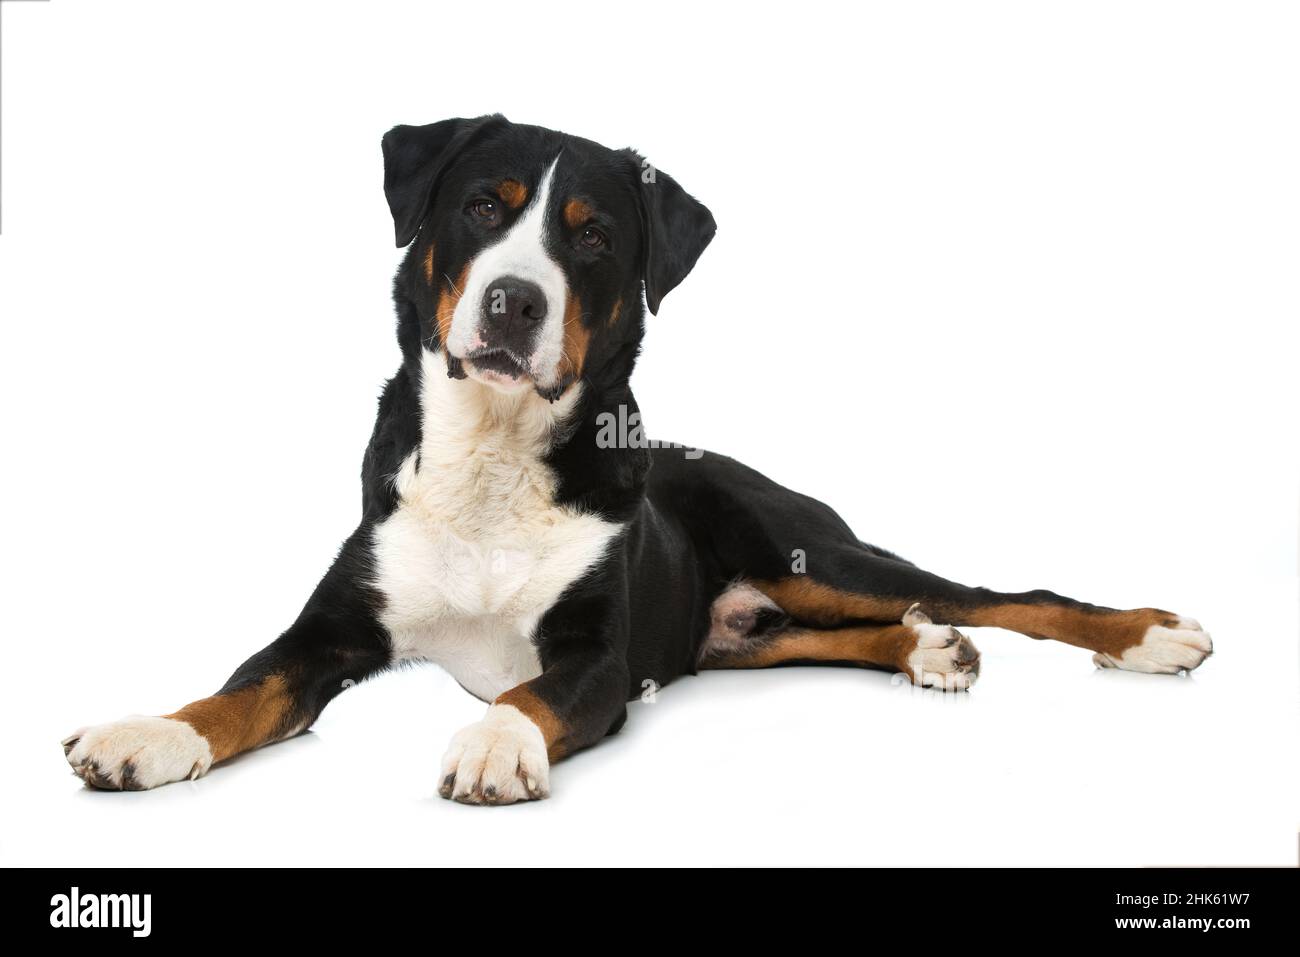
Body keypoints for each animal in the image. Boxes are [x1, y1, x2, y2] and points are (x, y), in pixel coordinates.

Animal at [61, 121, 1211, 806]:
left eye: (591, 235)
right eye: (482, 206)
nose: (513, 303)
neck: (490, 459)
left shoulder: (598, 658)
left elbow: (529, 696)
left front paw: (493, 743)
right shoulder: (331, 630)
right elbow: (242, 688)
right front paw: (146, 733)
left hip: (809, 553)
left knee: (1004, 594)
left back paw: (1147, 634)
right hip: (735, 635)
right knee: (853, 634)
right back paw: (931, 651)